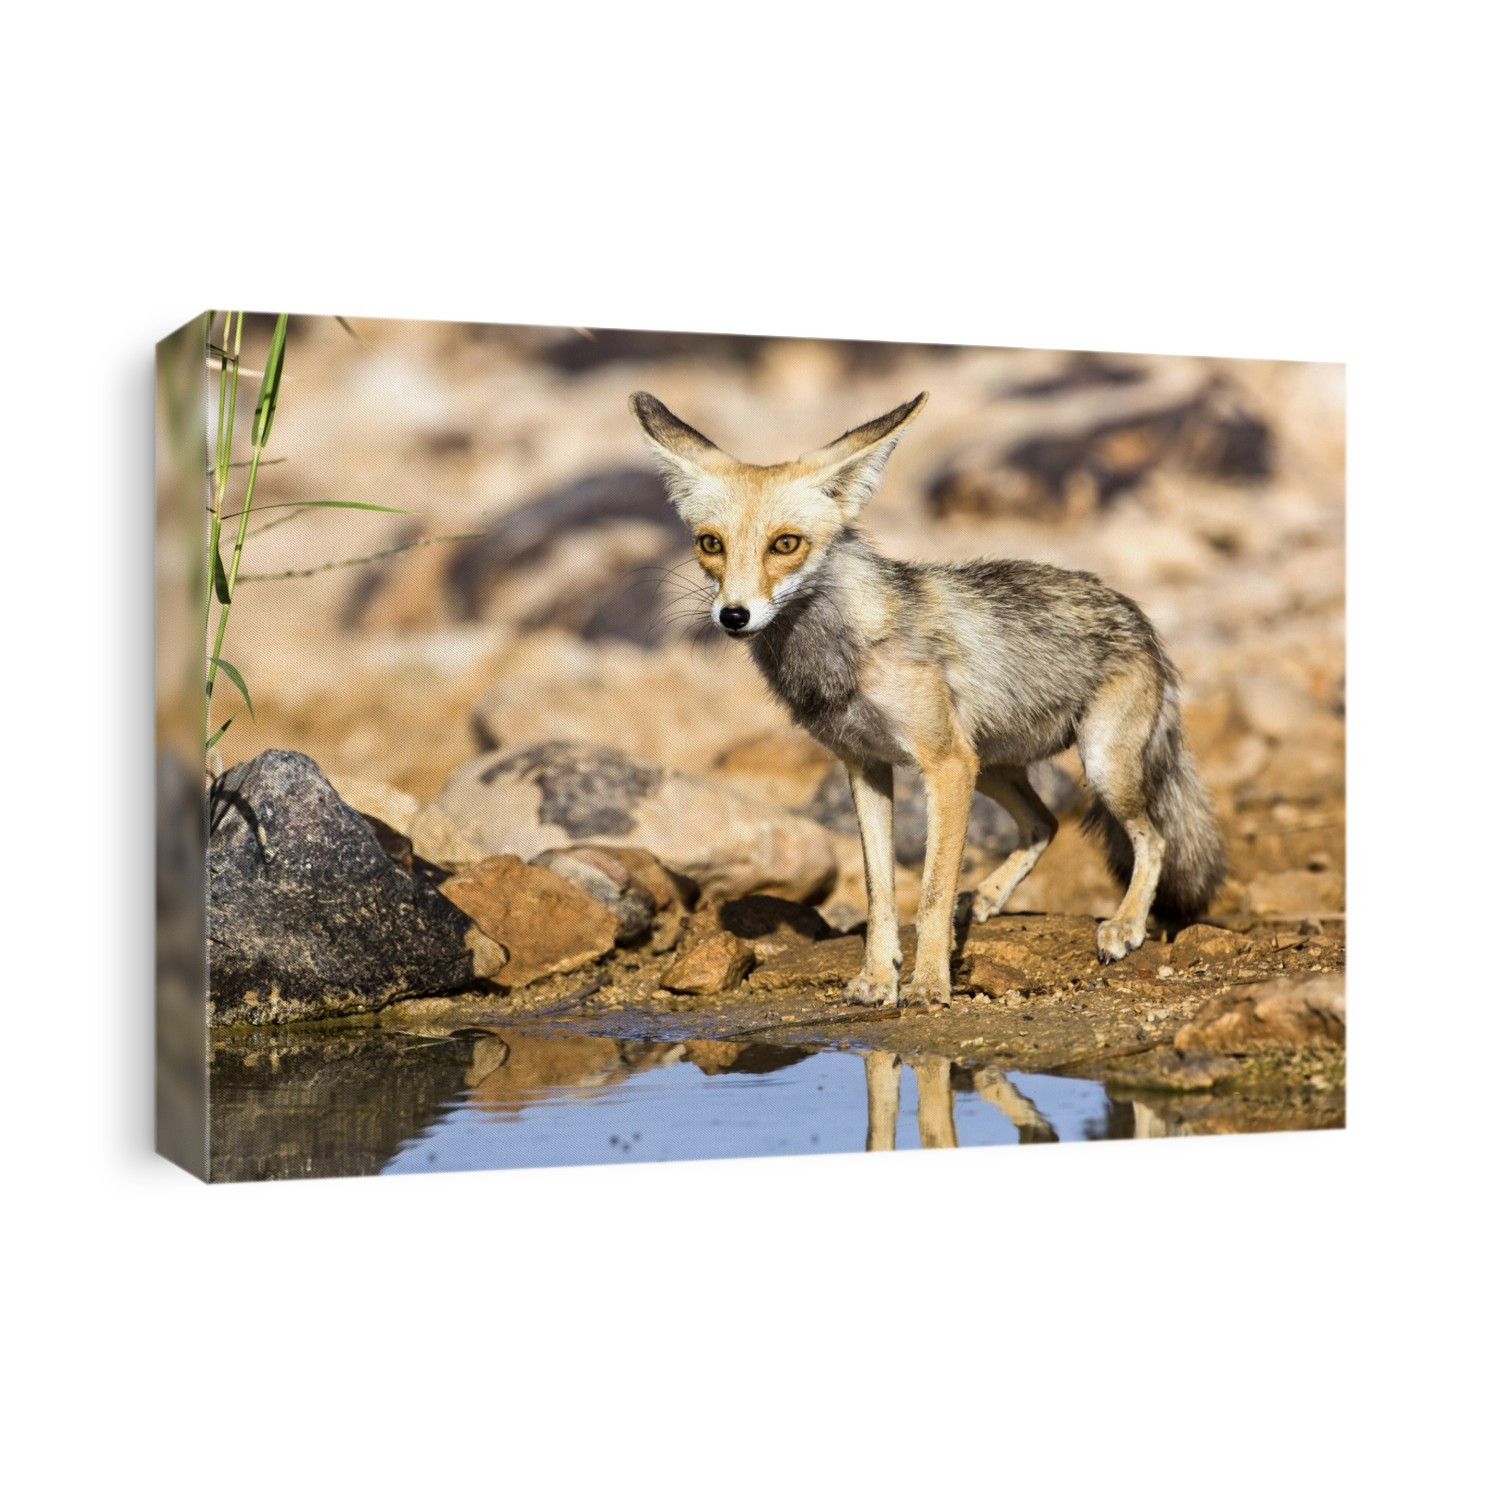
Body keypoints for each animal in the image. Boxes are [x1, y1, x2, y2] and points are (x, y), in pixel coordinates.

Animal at [629, 389, 1226, 1008]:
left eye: (786, 544)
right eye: (711, 545)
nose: (733, 616)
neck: (840, 656)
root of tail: (1139, 617)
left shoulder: (944, 763)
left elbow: (934, 891)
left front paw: (931, 982)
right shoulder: (866, 767)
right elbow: (880, 892)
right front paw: (877, 977)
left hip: (1096, 766)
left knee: (1153, 839)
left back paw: (1125, 925)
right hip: (992, 766)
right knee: (1044, 825)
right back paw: (988, 898)